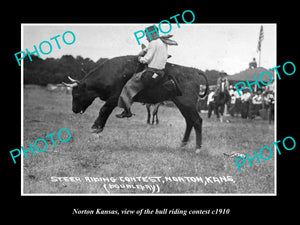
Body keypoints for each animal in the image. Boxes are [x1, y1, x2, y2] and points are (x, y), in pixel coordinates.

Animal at [63, 55, 209, 152]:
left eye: (76, 94)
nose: (74, 109)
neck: (113, 73)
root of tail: (194, 71)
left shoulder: (114, 98)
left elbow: (104, 110)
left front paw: (96, 127)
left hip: (187, 104)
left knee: (197, 121)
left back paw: (197, 148)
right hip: (181, 104)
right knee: (189, 121)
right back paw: (183, 144)